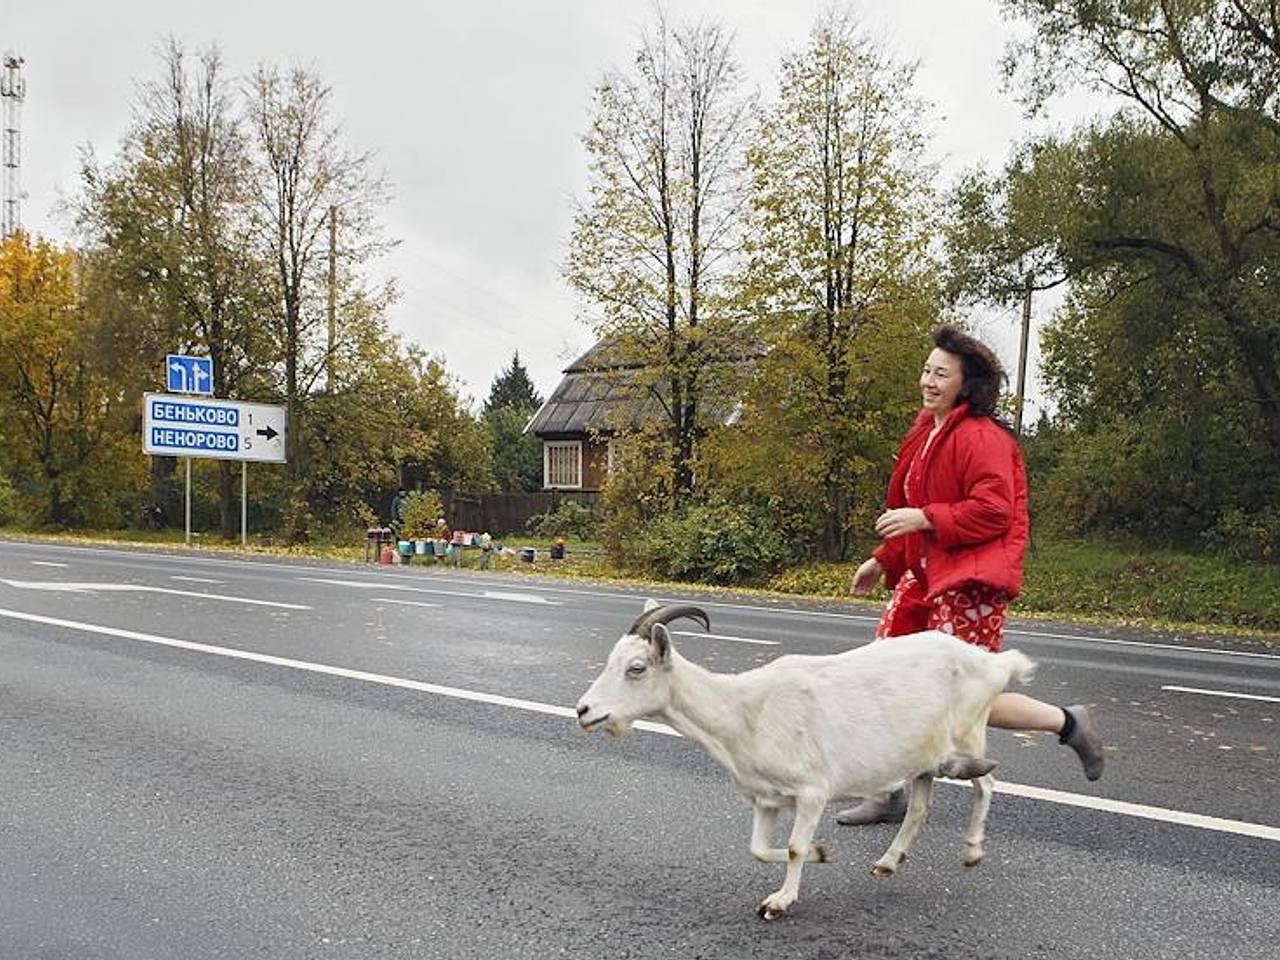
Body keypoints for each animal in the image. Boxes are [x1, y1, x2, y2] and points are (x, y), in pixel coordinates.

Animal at [576, 601, 1034, 926]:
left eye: (636, 668)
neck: (742, 710)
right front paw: (822, 853)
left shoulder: (812, 791)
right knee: (920, 807)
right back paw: (887, 862)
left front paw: (779, 901)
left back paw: (972, 851)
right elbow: (758, 849)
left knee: (985, 784)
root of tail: (994, 663)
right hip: (920, 756)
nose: (584, 710)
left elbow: (793, 847)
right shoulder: (766, 798)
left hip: (968, 732)